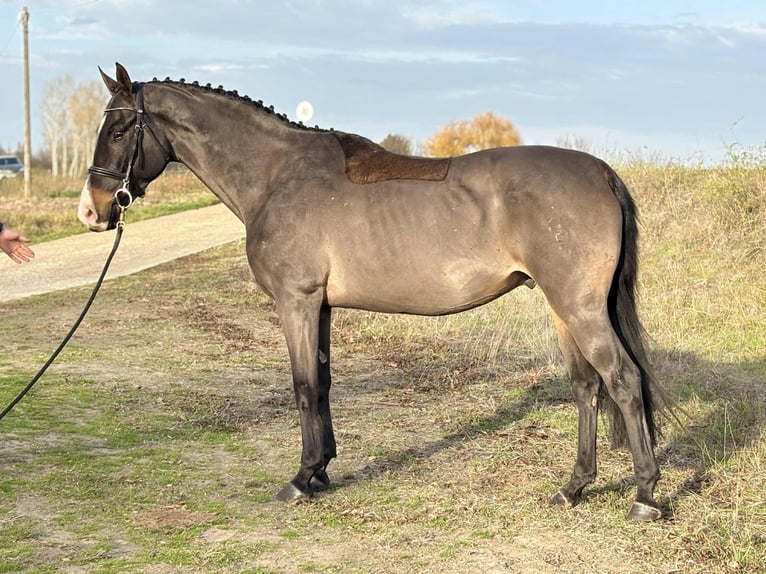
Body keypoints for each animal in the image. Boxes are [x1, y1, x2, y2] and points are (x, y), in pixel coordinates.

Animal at [79, 63, 670, 521]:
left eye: (118, 130)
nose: (91, 211)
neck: (276, 174)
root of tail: (600, 171)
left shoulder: (296, 302)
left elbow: (301, 386)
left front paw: (301, 479)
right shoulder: (320, 308)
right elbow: (321, 383)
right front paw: (321, 470)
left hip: (579, 307)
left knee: (621, 379)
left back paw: (644, 494)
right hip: (563, 309)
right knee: (585, 386)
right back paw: (574, 487)